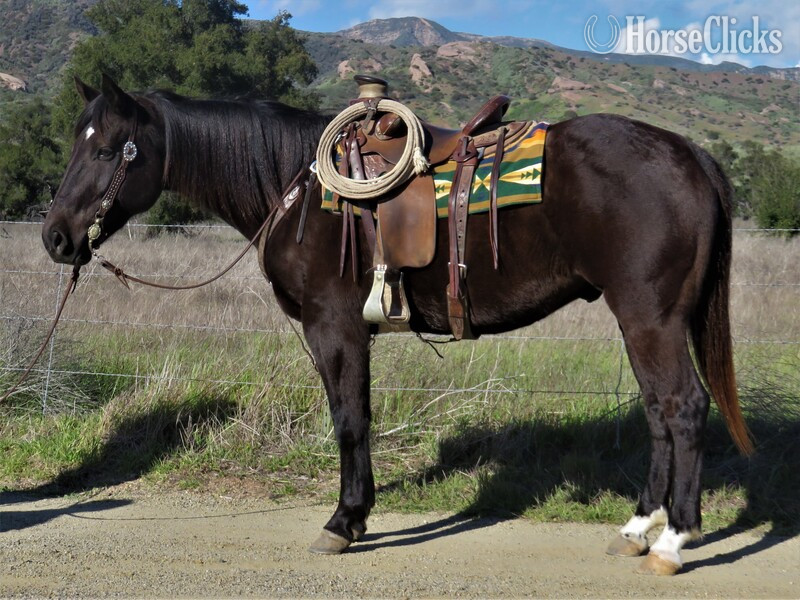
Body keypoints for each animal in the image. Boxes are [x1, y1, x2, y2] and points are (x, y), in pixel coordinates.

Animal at [42, 74, 752, 575]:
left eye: (107, 149)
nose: (56, 238)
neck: (297, 192)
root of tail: (688, 152)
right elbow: (354, 418)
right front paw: (354, 516)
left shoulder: (335, 328)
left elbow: (350, 420)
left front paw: (344, 521)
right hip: (643, 323)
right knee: (659, 412)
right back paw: (638, 530)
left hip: (651, 317)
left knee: (684, 408)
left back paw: (674, 541)